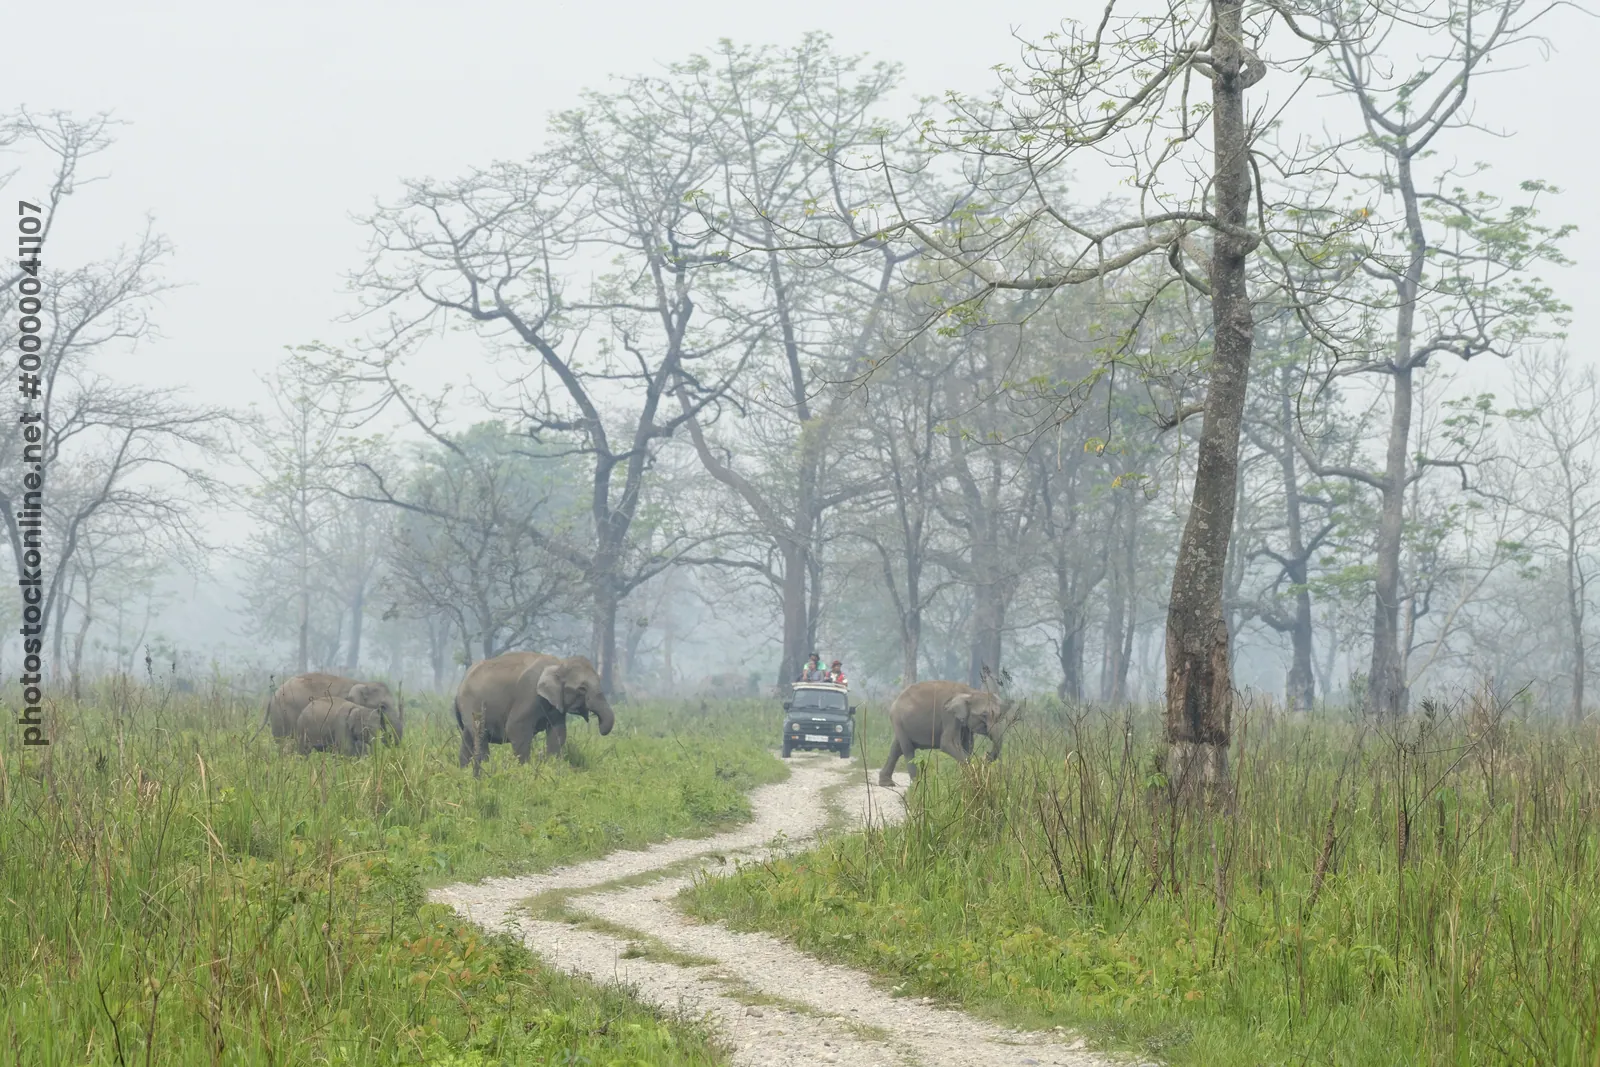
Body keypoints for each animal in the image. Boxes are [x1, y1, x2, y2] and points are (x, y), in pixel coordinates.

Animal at [453, 652, 615, 766]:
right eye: (582, 689)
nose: (600, 728)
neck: (559, 664)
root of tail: (459, 686)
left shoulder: (556, 706)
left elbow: (558, 733)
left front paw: (552, 766)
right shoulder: (529, 696)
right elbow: (515, 729)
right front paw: (524, 769)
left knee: (468, 739)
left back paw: (464, 771)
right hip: (471, 705)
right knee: (480, 736)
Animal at [877, 679, 1015, 787]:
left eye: (1000, 715)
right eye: (984, 715)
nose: (986, 755)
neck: (970, 692)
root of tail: (896, 700)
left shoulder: (964, 723)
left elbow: (968, 746)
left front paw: (965, 779)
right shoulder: (949, 716)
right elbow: (948, 744)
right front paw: (971, 778)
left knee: (896, 749)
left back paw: (887, 783)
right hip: (898, 720)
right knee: (907, 749)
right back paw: (918, 785)